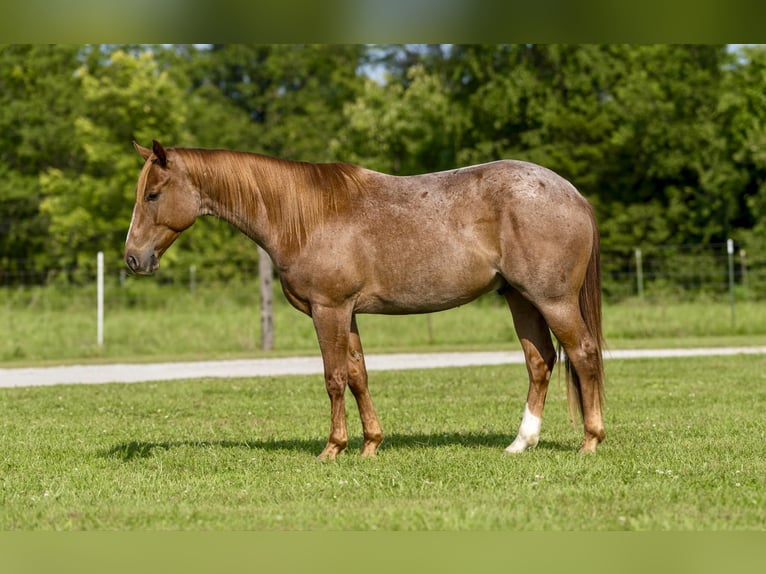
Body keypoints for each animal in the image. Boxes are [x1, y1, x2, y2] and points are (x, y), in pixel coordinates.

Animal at [125, 140, 605, 460]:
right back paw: (521, 443)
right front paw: (370, 445)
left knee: (583, 354)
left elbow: (334, 377)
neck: (305, 216)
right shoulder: (347, 313)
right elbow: (358, 375)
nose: (133, 259)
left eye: (153, 194)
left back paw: (590, 441)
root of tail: (573, 194)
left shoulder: (329, 310)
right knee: (541, 361)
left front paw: (332, 449)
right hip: (520, 299)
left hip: (553, 300)